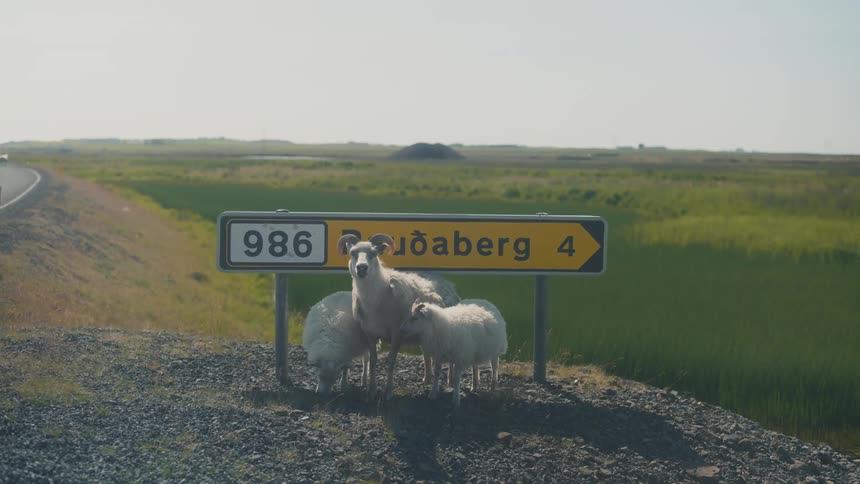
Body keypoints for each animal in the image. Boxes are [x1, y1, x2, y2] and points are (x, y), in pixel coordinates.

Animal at [337, 233, 460, 399]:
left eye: (374, 253)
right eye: (352, 253)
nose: (362, 268)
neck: (376, 297)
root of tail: (449, 284)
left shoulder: (396, 333)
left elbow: (391, 362)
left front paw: (388, 391)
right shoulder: (370, 334)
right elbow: (373, 361)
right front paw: (372, 390)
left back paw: (450, 380)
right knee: (426, 354)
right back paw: (427, 379)